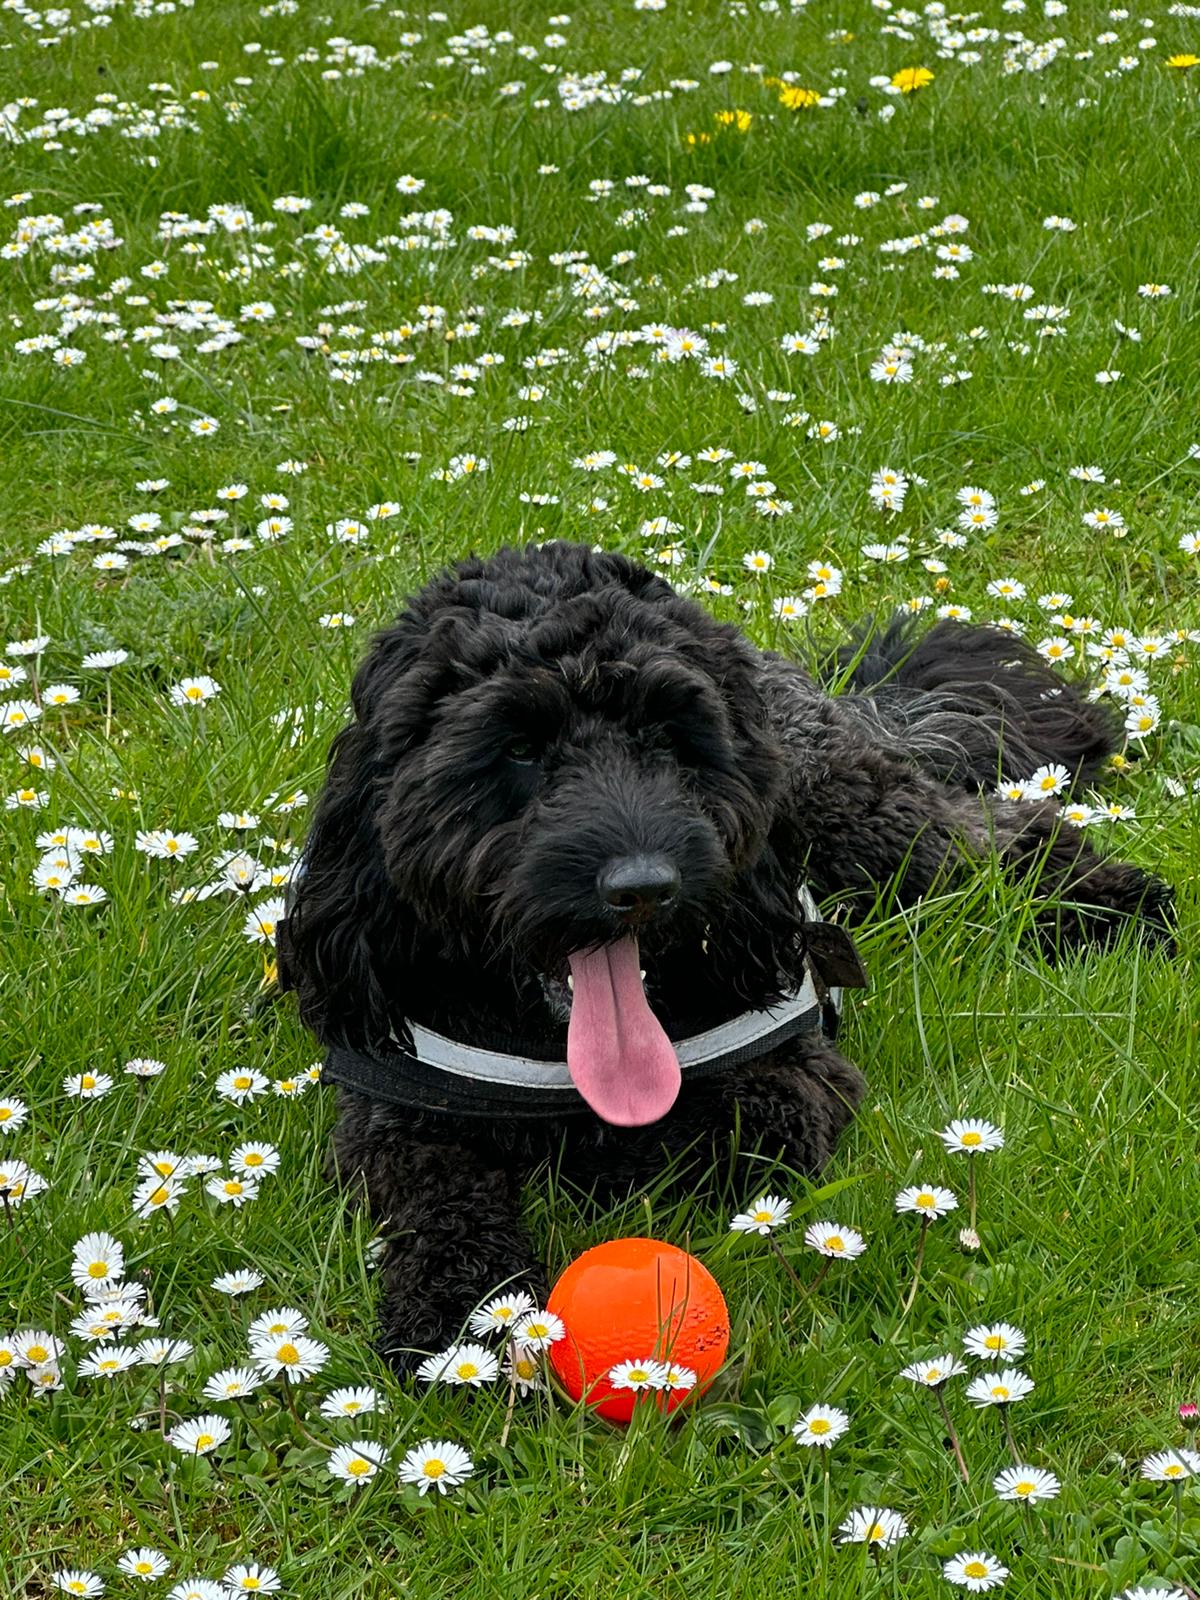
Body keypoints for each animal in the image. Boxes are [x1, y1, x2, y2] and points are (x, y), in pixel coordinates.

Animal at [280, 537, 1177, 1363]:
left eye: (667, 736)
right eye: (518, 747)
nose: (643, 886)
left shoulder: (792, 1081)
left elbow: (705, 1143)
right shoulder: (395, 1122)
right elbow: (440, 1202)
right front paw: (462, 1320)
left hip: (868, 824)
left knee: (1005, 837)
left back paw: (1117, 906)